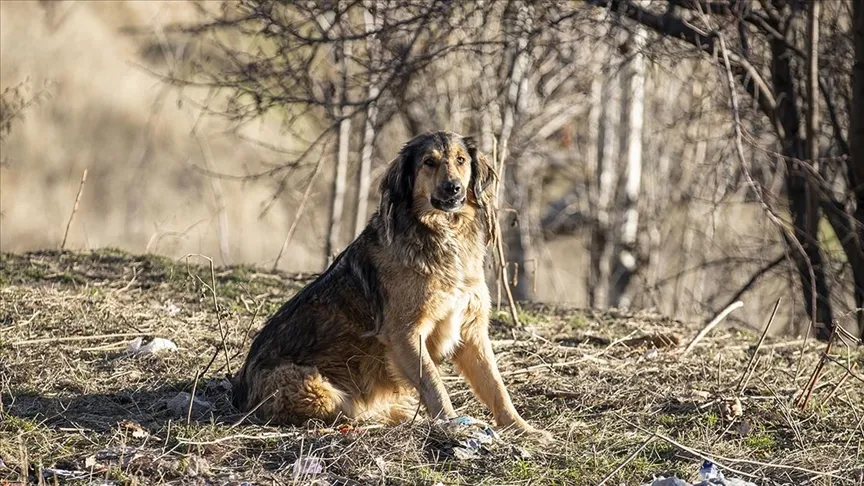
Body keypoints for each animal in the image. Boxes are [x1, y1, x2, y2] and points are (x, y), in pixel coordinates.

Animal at [231, 129, 548, 440]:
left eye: (461, 160)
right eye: (429, 162)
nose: (454, 188)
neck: (443, 233)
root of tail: (240, 393)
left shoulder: (471, 329)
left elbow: (495, 386)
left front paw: (521, 427)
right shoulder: (405, 333)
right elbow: (434, 383)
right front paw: (452, 424)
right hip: (315, 387)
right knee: (349, 411)